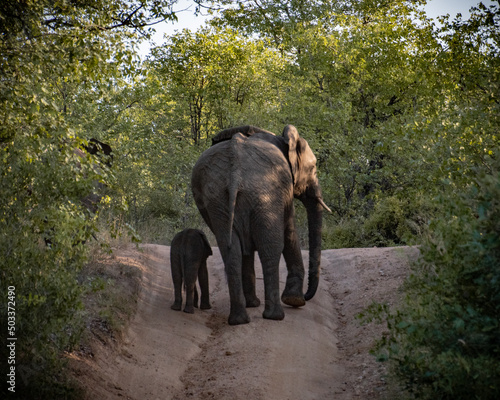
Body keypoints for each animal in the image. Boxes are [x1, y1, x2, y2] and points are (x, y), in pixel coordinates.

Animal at [190, 125, 328, 324]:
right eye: (314, 169)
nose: (307, 296)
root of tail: (235, 161)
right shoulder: (284, 192)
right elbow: (289, 232)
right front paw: (295, 300)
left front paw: (253, 304)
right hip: (266, 191)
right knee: (270, 247)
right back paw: (275, 316)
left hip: (218, 198)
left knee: (230, 250)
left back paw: (239, 319)